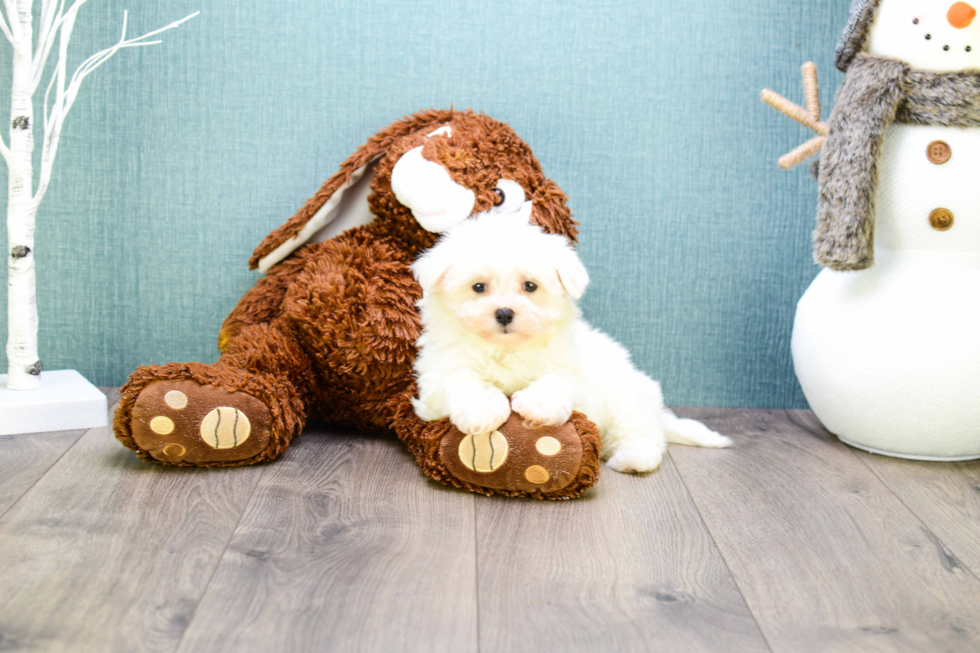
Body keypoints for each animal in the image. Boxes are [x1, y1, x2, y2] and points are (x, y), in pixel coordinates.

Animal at [410, 206, 732, 472]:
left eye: (530, 286)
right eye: (478, 287)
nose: (504, 313)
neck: (507, 349)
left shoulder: (570, 369)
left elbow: (558, 381)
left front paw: (535, 405)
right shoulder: (437, 374)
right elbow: (461, 379)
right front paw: (483, 408)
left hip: (627, 398)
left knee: (641, 434)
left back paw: (633, 459)